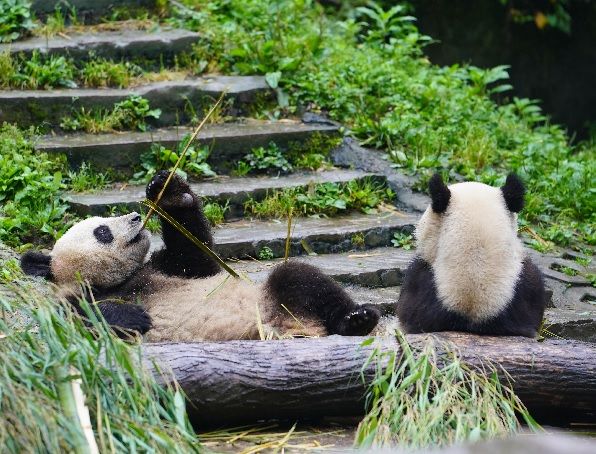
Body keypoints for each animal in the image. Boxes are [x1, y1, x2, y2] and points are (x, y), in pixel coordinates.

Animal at [22, 170, 382, 340]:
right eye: (102, 232)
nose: (137, 218)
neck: (123, 281)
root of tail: (296, 328)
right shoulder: (73, 298)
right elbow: (72, 321)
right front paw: (133, 316)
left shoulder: (167, 268)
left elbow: (197, 255)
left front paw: (169, 190)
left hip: (273, 299)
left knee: (299, 278)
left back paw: (357, 319)